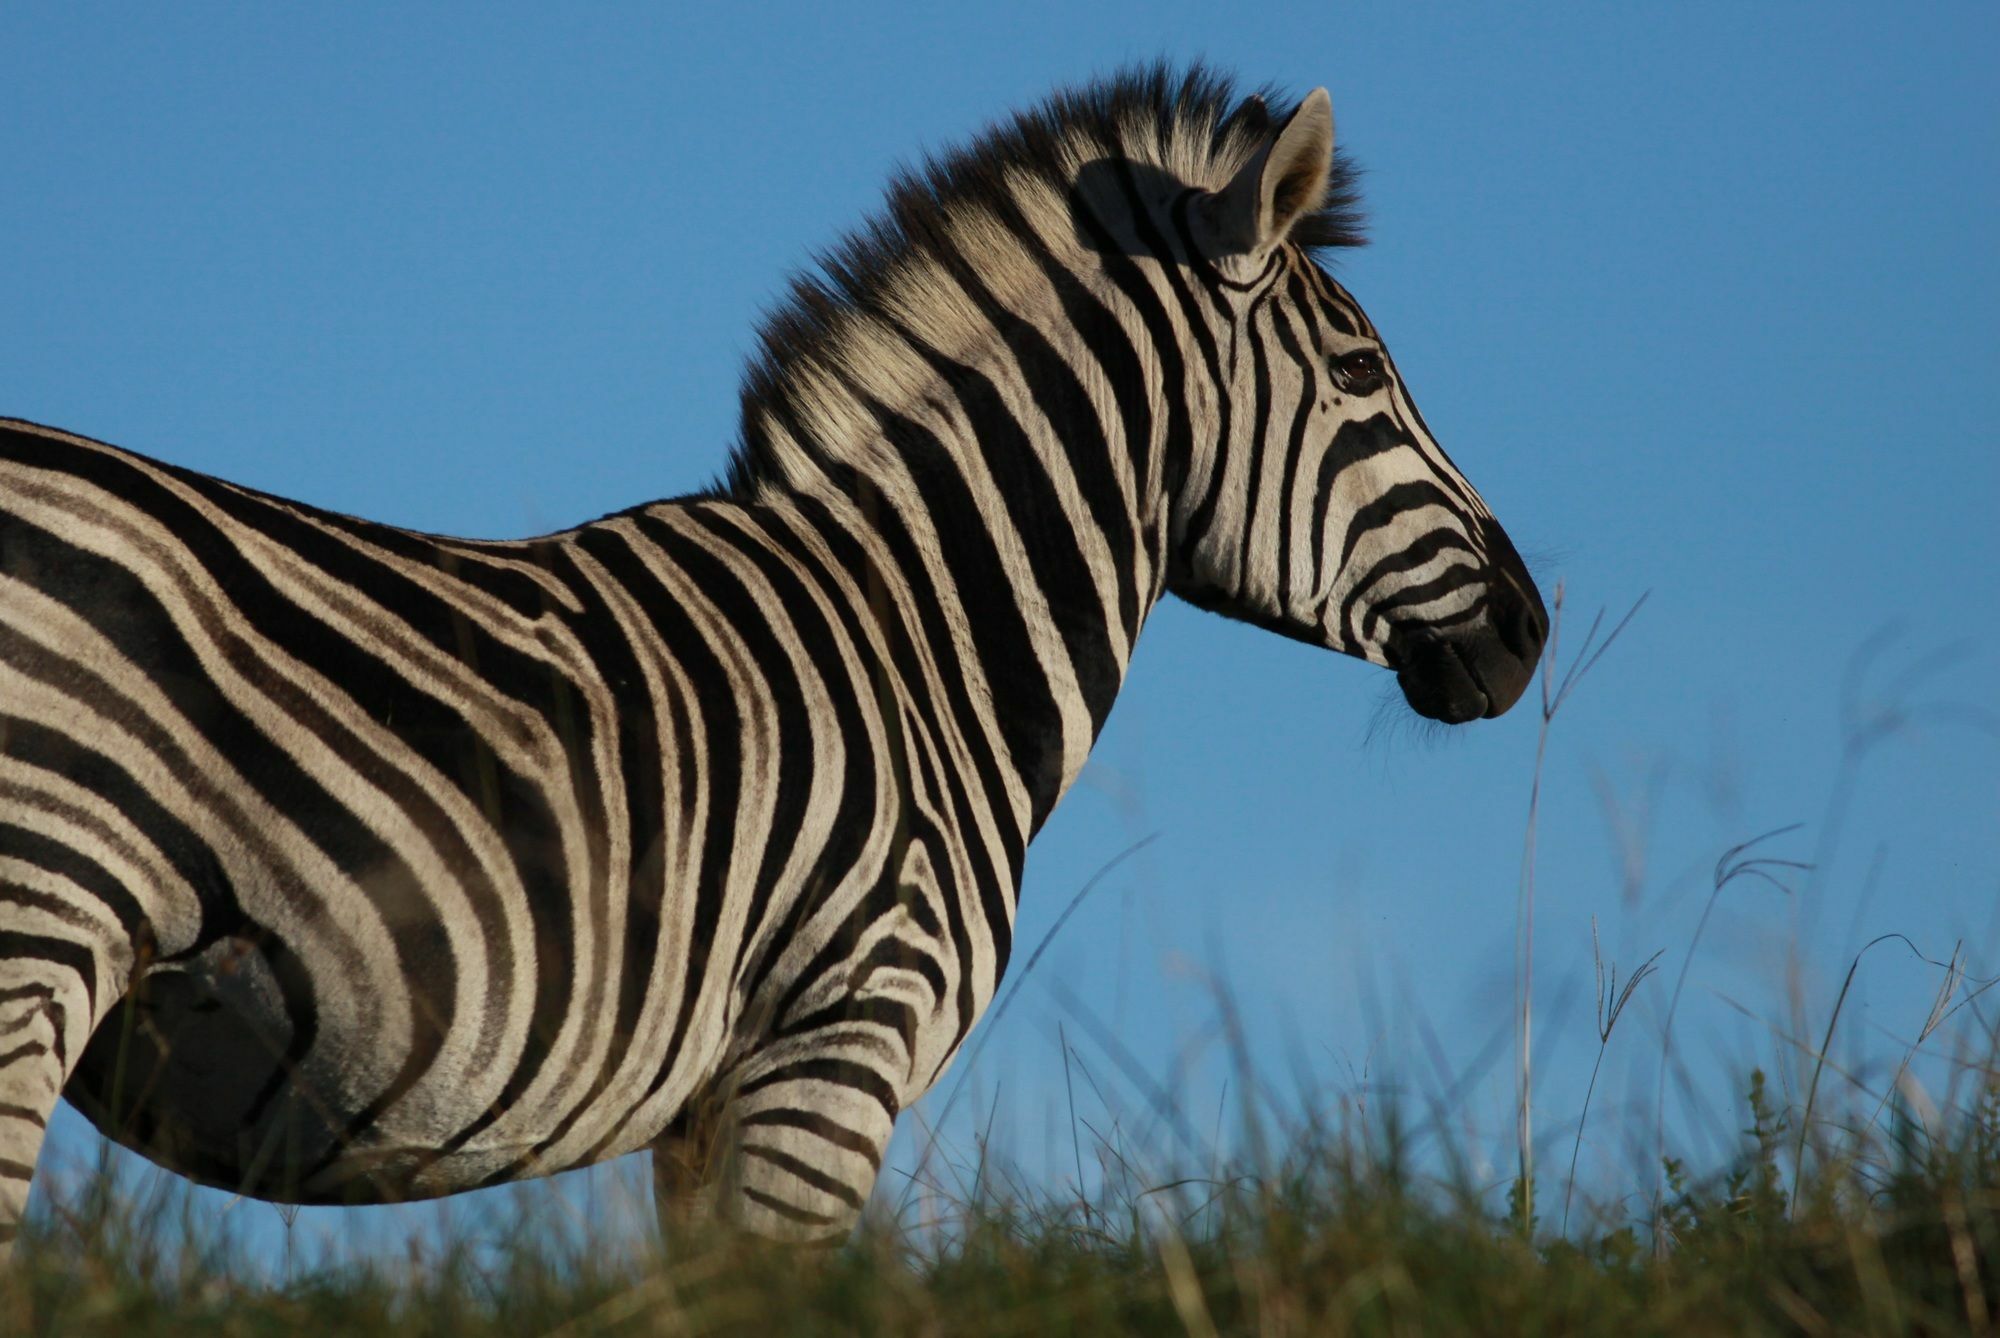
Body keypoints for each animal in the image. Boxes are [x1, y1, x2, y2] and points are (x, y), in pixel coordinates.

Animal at [0, 68, 1544, 1248]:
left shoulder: (707, 1105)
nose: (1533, 631)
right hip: (42, 922)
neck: (920, 636)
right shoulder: (835, 1044)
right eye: (1361, 378)